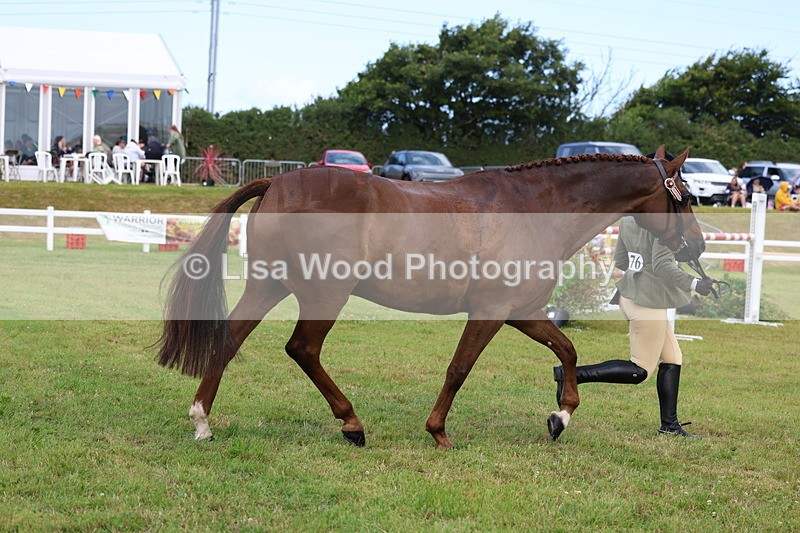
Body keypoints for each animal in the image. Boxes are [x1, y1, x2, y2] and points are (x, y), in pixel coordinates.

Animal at [158, 145, 704, 448]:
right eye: (686, 196)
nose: (697, 246)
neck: (534, 209)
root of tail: (278, 181)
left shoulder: (522, 312)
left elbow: (567, 350)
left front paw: (560, 416)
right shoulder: (489, 312)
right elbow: (459, 368)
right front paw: (439, 431)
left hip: (269, 284)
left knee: (229, 339)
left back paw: (203, 422)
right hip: (325, 293)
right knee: (303, 349)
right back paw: (352, 424)